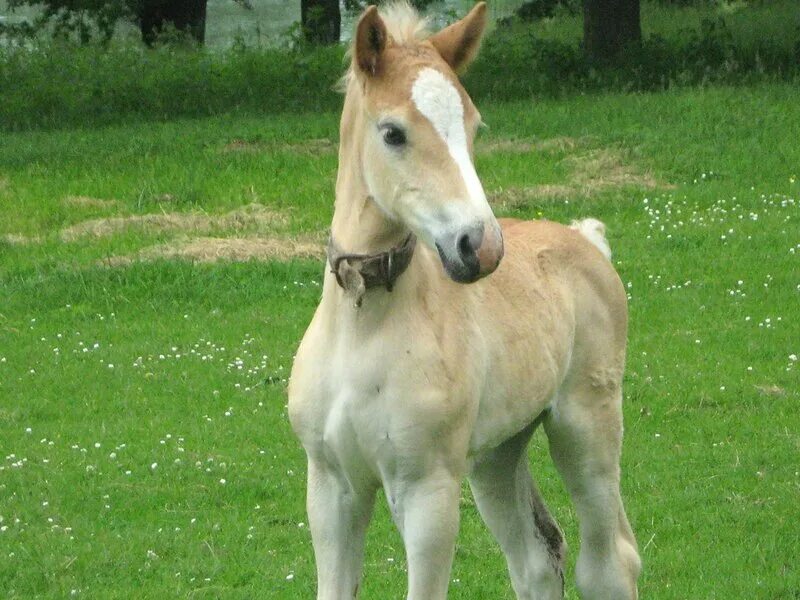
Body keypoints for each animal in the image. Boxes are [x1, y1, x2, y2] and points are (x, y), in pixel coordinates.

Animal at [290, 2, 640, 596]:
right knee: (538, 558)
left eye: (473, 125)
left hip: (584, 428)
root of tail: (588, 242)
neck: (364, 326)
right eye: (393, 133)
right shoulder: (331, 487)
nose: (480, 245)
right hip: (497, 454)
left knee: (609, 562)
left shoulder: (426, 489)